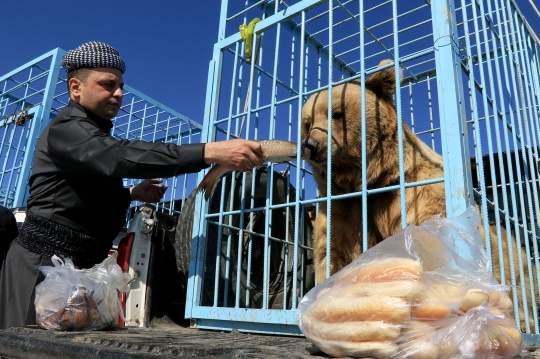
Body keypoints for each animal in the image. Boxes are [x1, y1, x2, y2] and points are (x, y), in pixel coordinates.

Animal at [304, 60, 536, 334]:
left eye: (336, 113)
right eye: (307, 121)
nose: (311, 144)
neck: (371, 180)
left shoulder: (415, 191)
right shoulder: (343, 205)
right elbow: (334, 252)